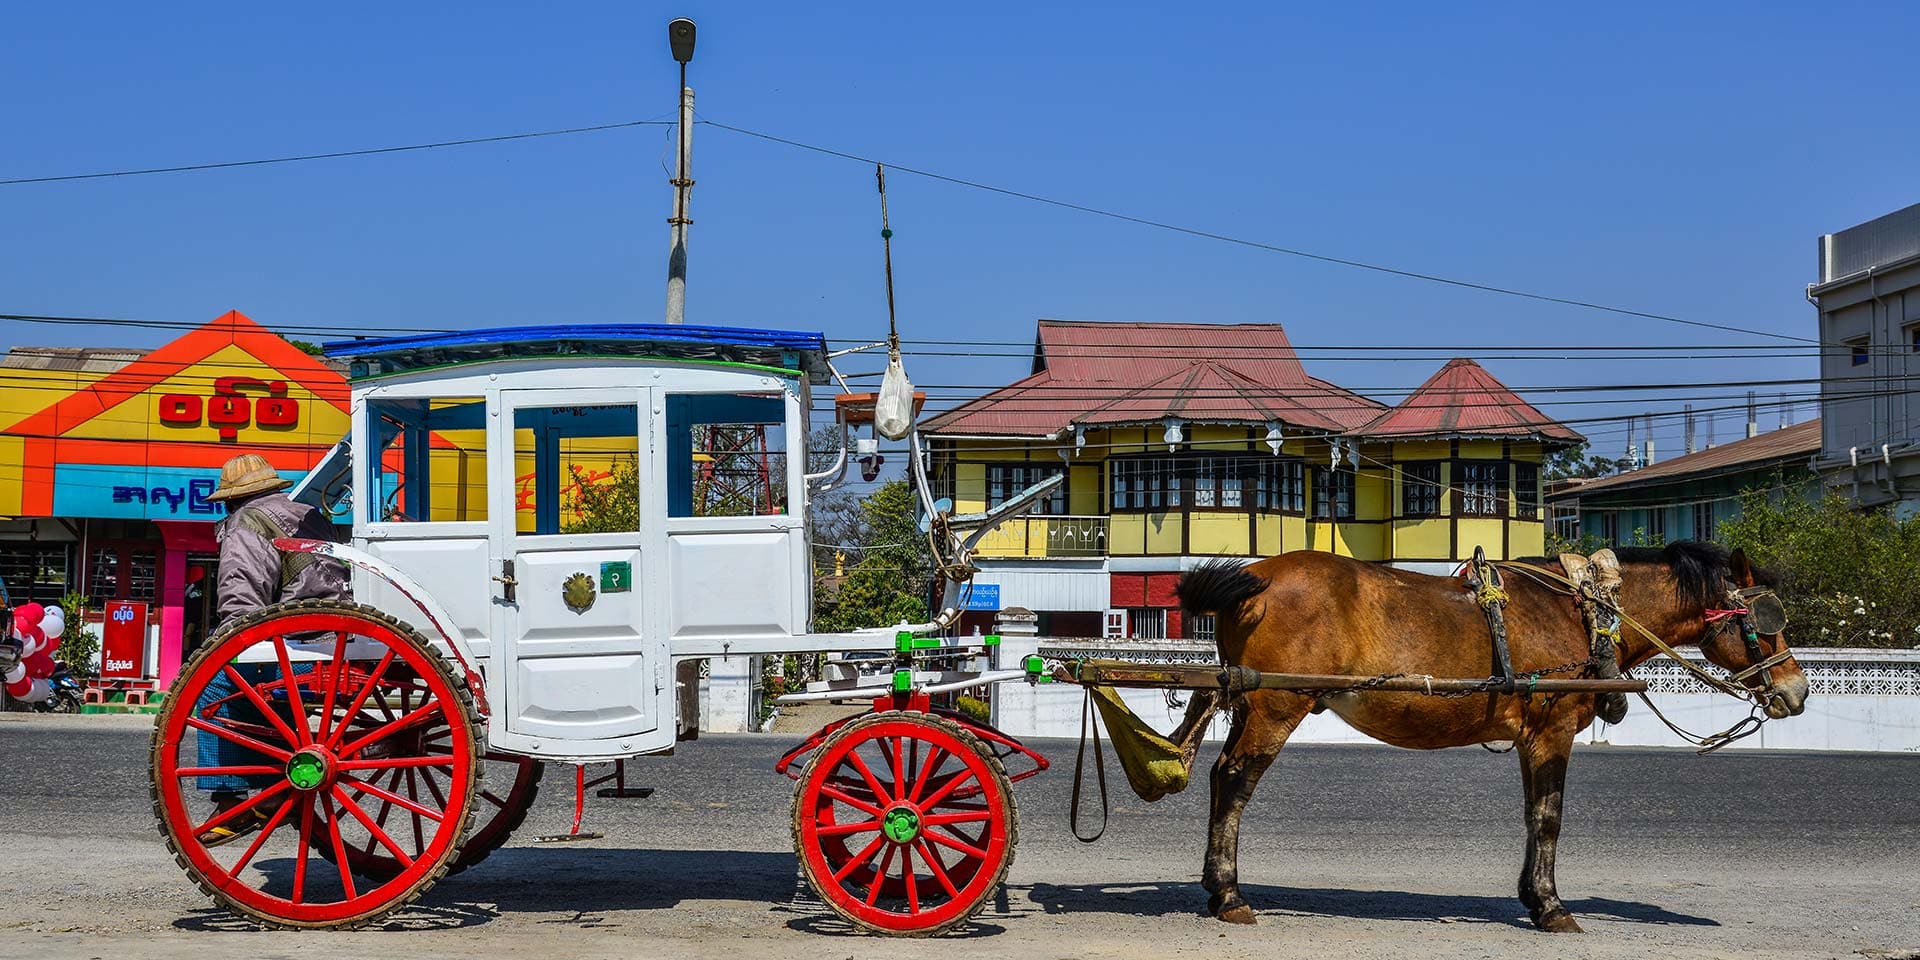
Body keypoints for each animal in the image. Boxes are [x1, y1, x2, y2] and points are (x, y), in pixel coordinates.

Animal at [1159, 545, 1804, 933]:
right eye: (1766, 622)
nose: (1796, 691)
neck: (1585, 613)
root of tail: (1257, 577)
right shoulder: (1551, 732)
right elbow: (1549, 816)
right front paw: (1551, 907)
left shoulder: (1529, 738)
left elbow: (1532, 813)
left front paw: (1532, 896)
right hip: (1277, 705)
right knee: (1235, 782)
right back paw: (1229, 895)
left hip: (1249, 700)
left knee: (1218, 776)